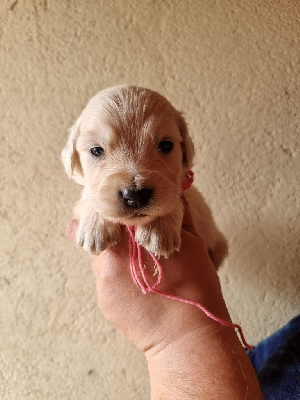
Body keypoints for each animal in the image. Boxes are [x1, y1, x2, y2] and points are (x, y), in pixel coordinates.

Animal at [61, 85, 227, 268]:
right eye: (96, 150)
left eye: (166, 145)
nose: (135, 196)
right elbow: (89, 196)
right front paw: (95, 225)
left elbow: (172, 198)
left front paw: (158, 229)